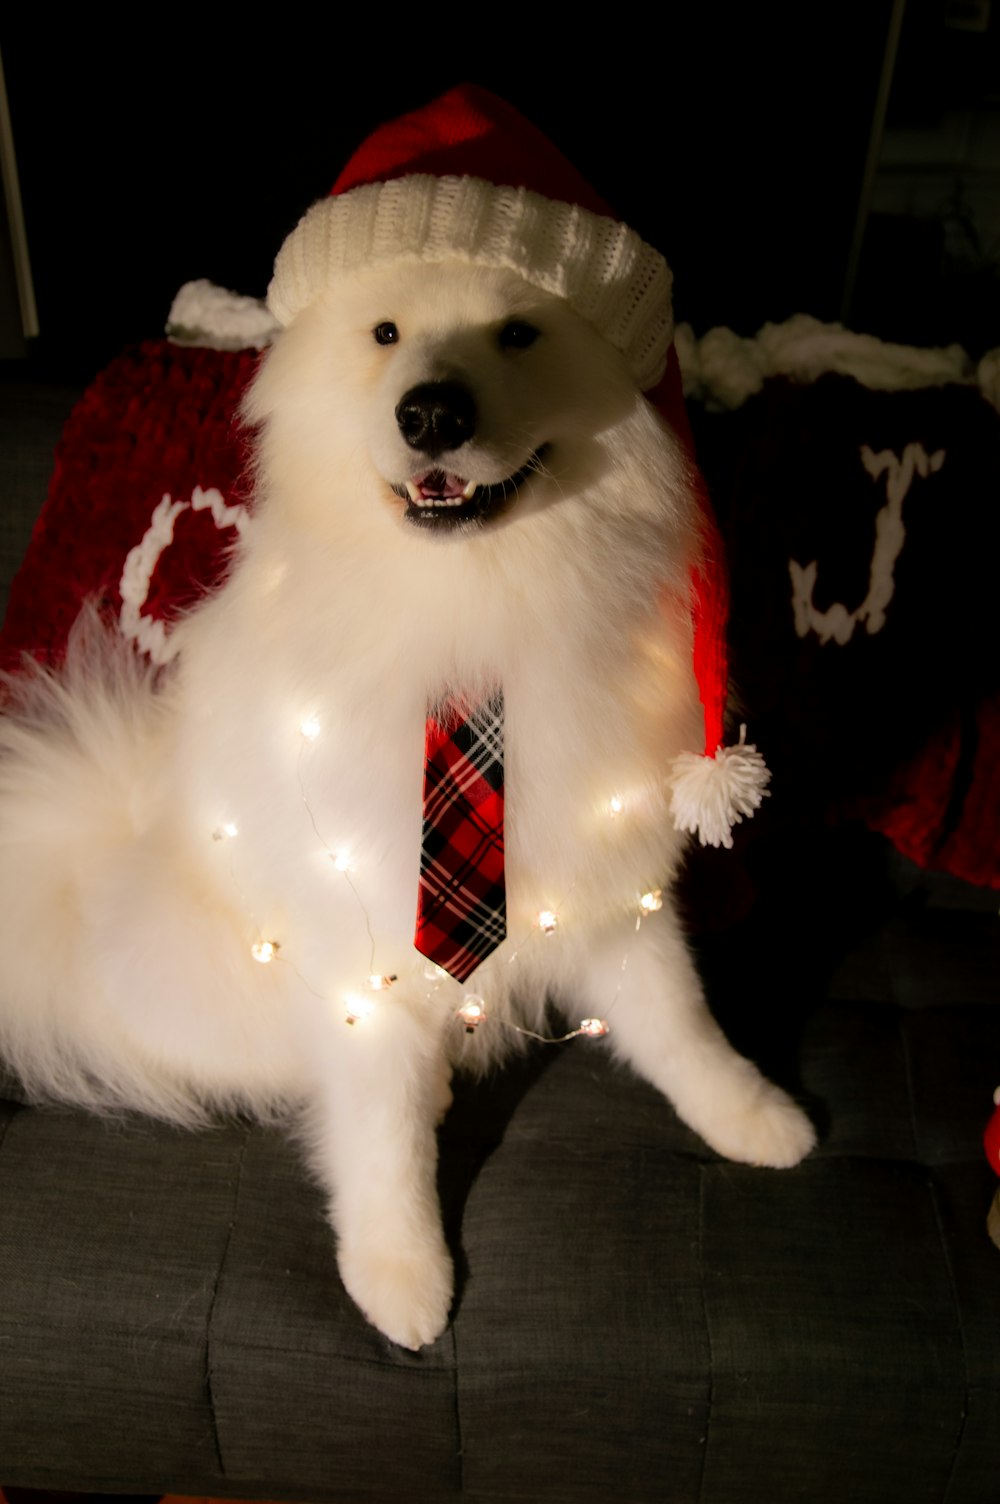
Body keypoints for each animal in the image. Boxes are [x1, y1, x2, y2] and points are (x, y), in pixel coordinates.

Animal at [0, 90, 812, 1353]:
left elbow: (681, 1025)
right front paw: (399, 1273)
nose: (431, 411)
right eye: (383, 333)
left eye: (521, 332)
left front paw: (753, 1113)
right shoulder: (362, 931)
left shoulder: (607, 871)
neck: (477, 602)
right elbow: (379, 1135)